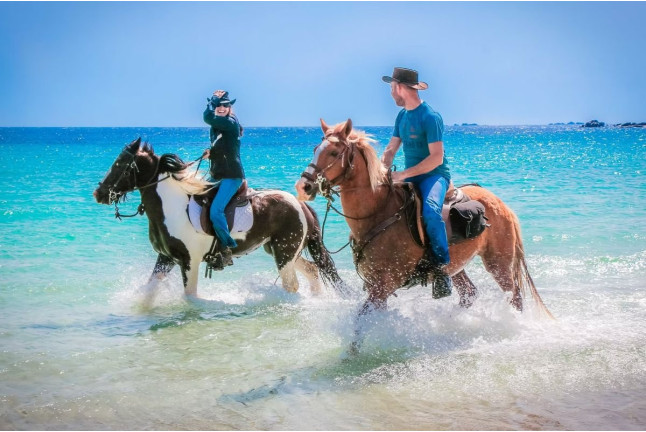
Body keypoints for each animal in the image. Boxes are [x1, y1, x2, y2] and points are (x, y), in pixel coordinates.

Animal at [94, 137, 345, 299]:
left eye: (120, 165)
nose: (99, 193)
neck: (172, 207)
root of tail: (300, 203)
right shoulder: (166, 258)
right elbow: (150, 290)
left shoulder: (189, 261)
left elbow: (191, 297)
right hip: (280, 250)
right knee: (313, 270)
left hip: (284, 252)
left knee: (292, 285)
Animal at [295, 119, 553, 351]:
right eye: (315, 149)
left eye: (334, 152)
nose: (303, 187)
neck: (378, 214)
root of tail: (502, 204)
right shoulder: (375, 286)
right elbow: (370, 319)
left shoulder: (385, 284)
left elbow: (360, 321)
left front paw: (350, 356)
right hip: (454, 266)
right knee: (469, 294)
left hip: (498, 262)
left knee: (514, 296)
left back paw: (512, 326)